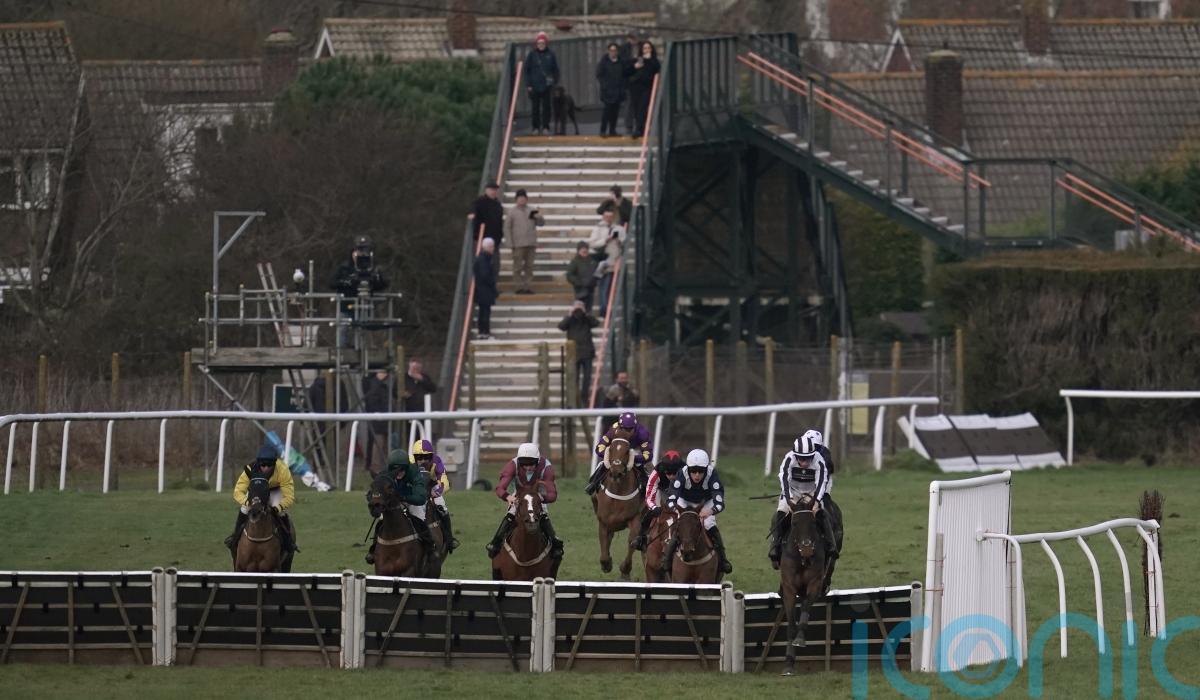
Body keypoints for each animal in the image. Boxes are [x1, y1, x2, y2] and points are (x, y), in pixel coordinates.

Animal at [590, 435, 643, 580]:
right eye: (611, 448)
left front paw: (625, 570)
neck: (618, 490)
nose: (616, 472)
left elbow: (632, 541)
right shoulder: (603, 521)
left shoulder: (634, 518)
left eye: (627, 451)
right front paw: (606, 564)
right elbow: (604, 542)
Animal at [779, 493, 831, 676]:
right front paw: (788, 663)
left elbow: (806, 606)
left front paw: (800, 639)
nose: (807, 549)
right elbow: (790, 625)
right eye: (794, 523)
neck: (802, 559)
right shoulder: (789, 587)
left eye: (813, 523)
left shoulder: (814, 583)